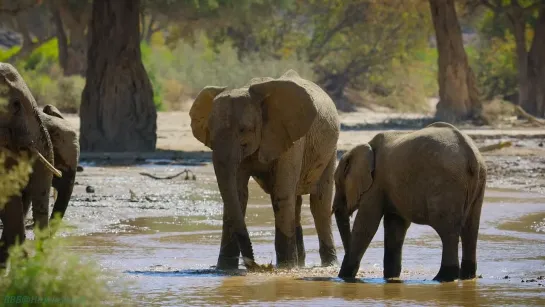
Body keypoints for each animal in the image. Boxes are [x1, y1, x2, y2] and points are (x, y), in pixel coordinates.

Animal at [189, 70, 338, 272]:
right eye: (209, 130)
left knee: (319, 204)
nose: (254, 264)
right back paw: (300, 264)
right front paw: (225, 269)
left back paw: (327, 264)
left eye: (244, 129)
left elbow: (281, 194)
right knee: (296, 202)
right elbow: (238, 194)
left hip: (330, 149)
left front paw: (284, 268)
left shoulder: (290, 139)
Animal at [334, 121, 486, 282]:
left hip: (447, 184)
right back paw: (467, 276)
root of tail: (471, 154)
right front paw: (391, 278)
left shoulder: (376, 184)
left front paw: (344, 277)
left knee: (448, 231)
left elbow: (366, 224)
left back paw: (442, 278)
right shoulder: (390, 186)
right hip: (478, 182)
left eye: (337, 182)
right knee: (470, 229)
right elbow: (395, 226)